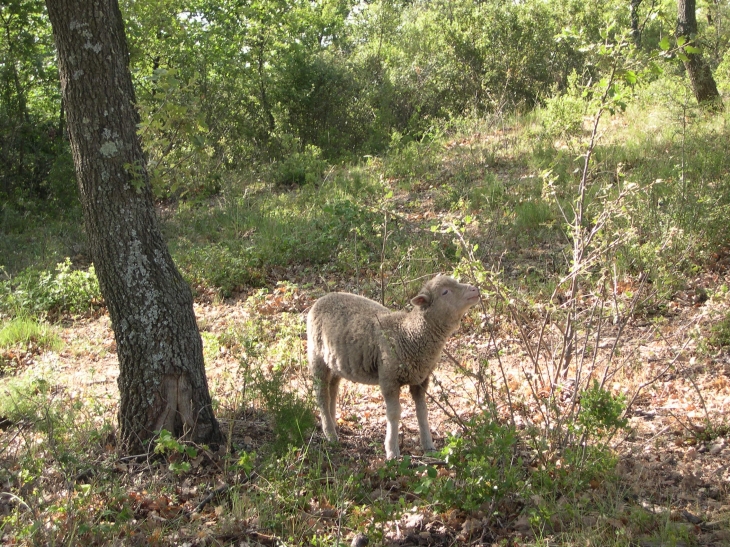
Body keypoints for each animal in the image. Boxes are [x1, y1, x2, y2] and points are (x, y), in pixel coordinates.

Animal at [306, 276, 478, 460]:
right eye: (445, 292)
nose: (475, 290)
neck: (409, 334)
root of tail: (322, 299)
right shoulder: (389, 378)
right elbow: (394, 414)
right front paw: (392, 451)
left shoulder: (421, 379)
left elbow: (422, 412)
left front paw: (429, 446)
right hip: (316, 355)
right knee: (321, 394)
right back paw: (330, 433)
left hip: (336, 362)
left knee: (332, 388)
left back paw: (332, 423)